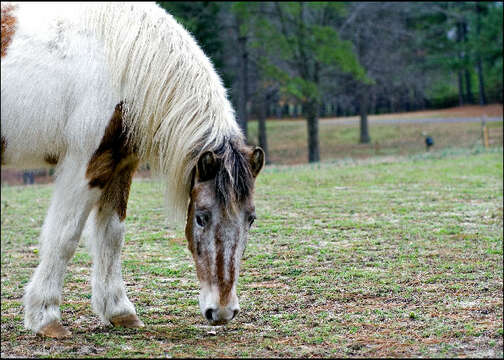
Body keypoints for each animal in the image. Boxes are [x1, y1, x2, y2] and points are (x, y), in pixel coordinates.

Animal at [0, 2, 266, 338]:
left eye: (251, 218)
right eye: (202, 217)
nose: (222, 311)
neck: (120, 61)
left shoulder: (120, 165)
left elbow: (112, 234)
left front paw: (119, 311)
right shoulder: (83, 165)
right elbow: (64, 236)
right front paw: (46, 318)